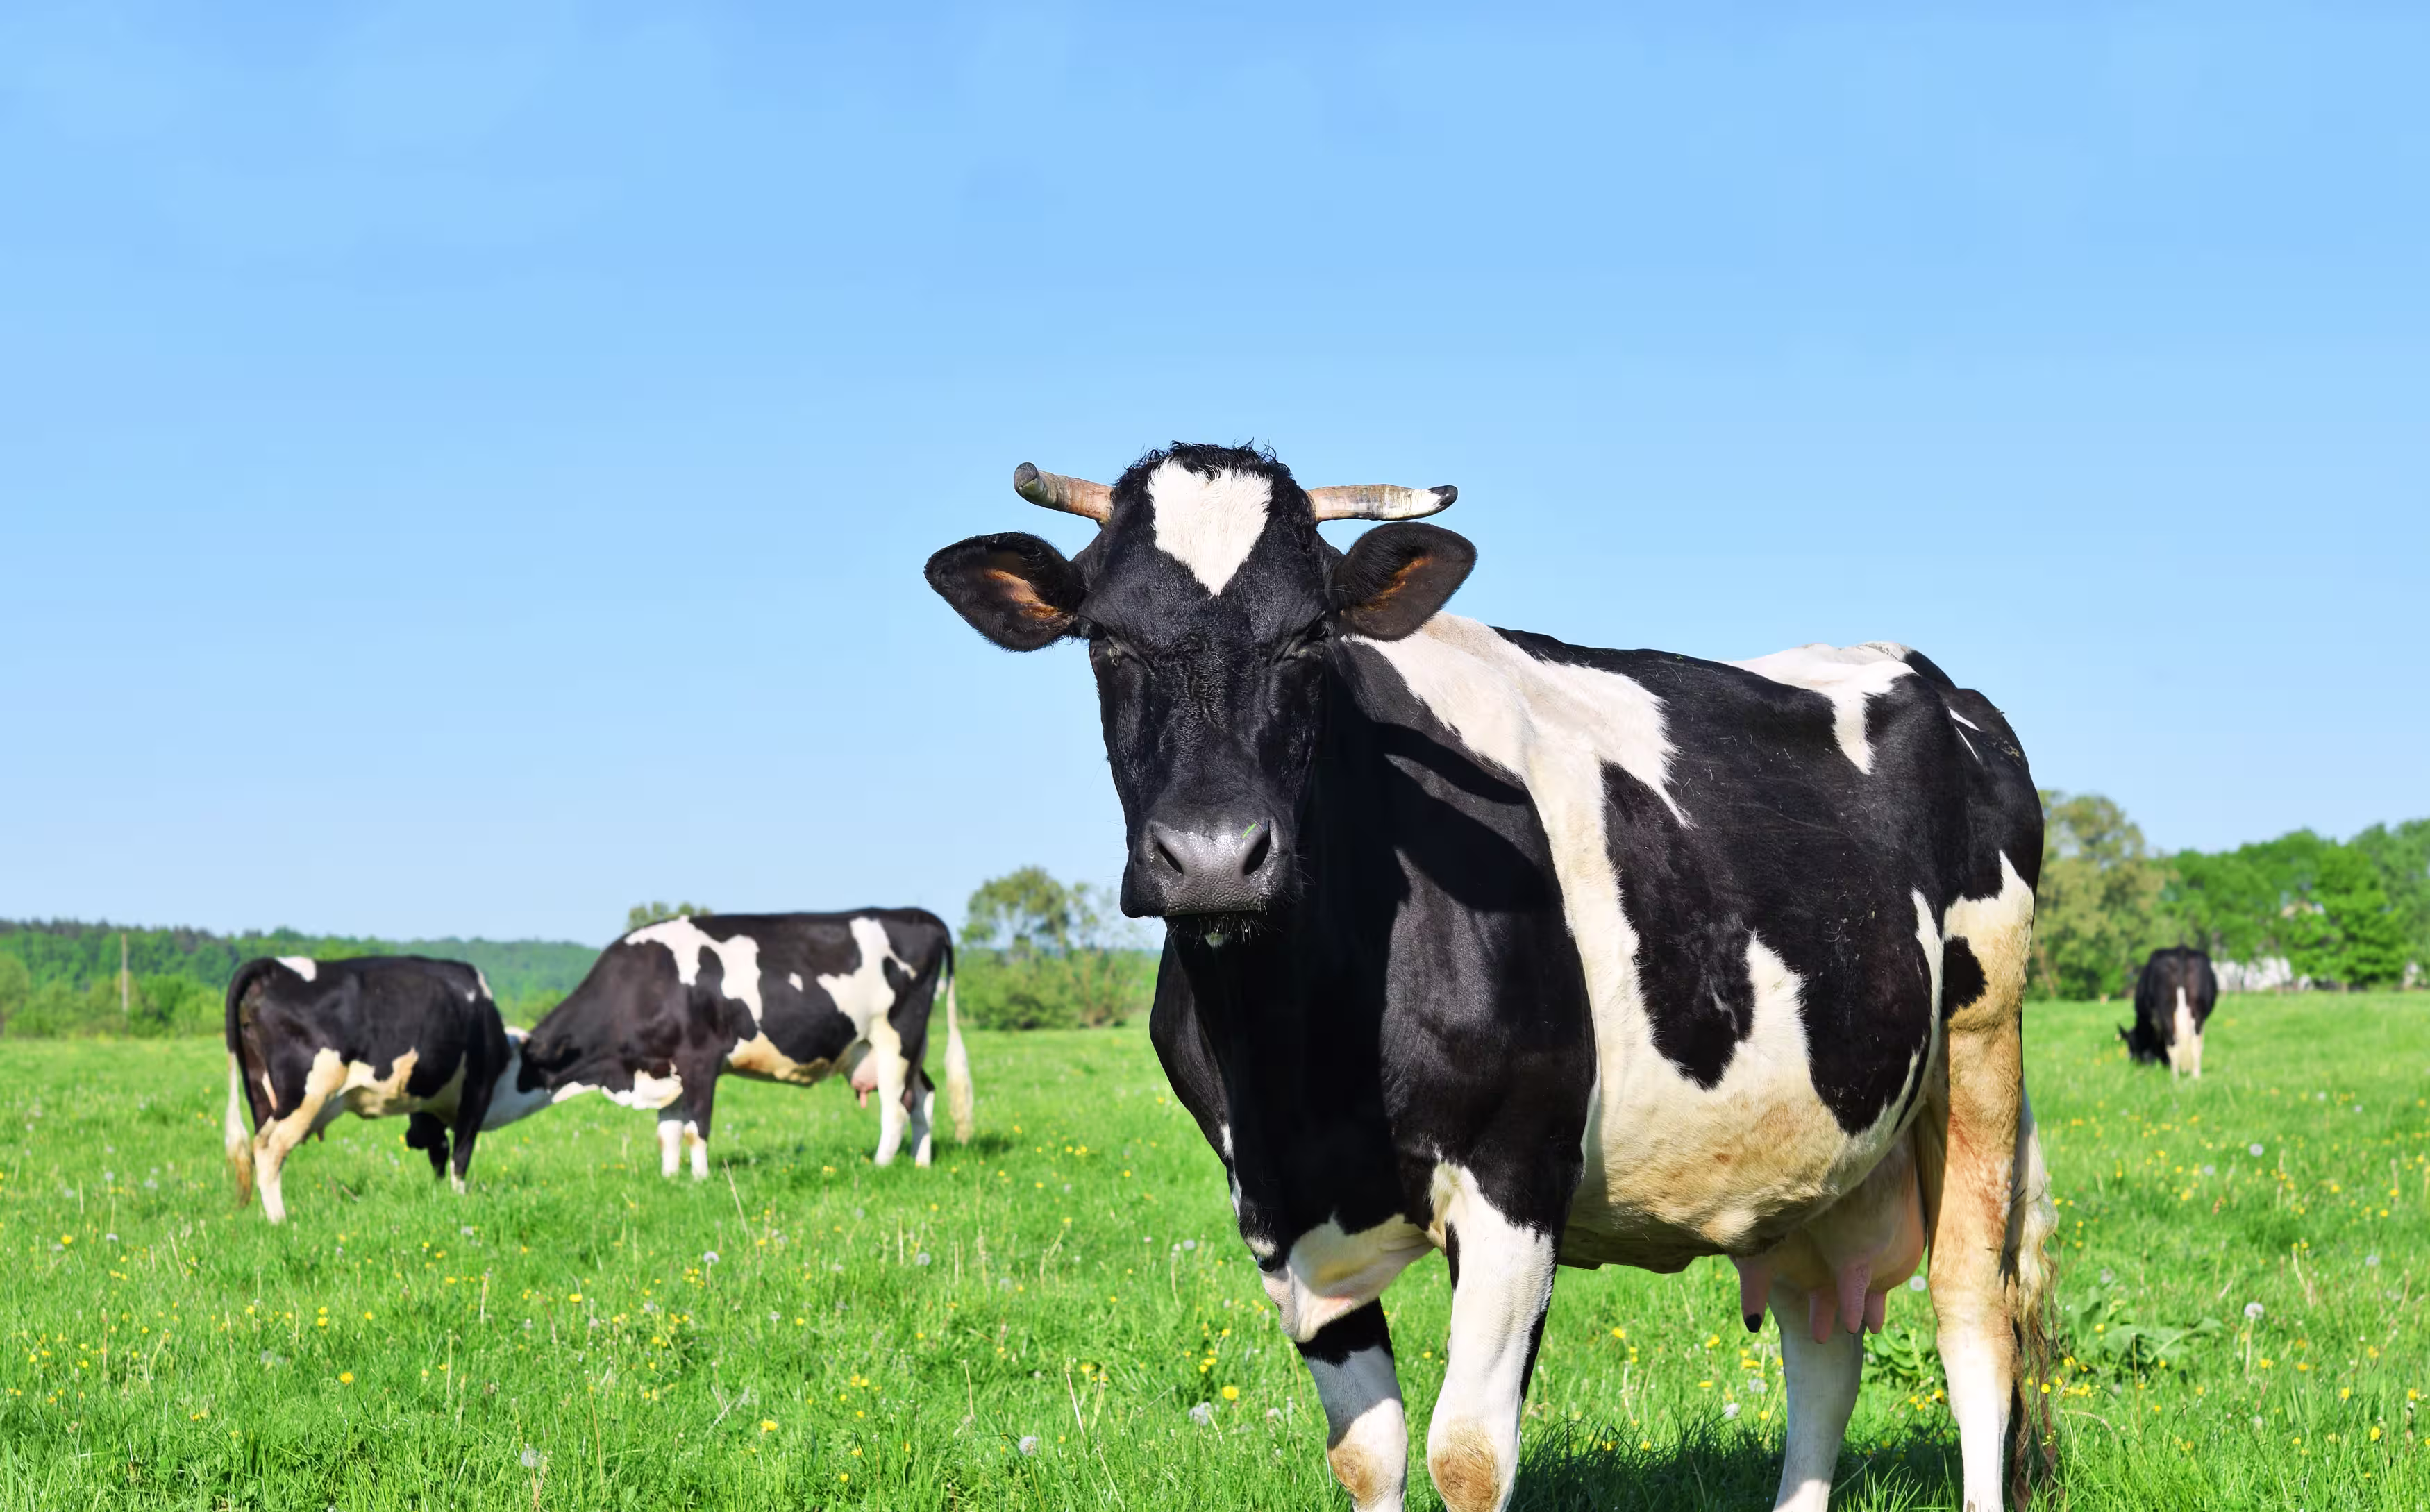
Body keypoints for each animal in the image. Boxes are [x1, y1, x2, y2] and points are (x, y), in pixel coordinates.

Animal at [222, 955, 545, 1224]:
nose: (410, 1139)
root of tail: (274, 967)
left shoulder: (429, 1106)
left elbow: (439, 1150)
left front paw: (439, 1194)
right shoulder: (476, 1093)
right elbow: (460, 1155)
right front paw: (458, 1199)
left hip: (261, 1091)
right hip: (307, 1094)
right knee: (269, 1148)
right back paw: (280, 1220)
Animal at [510, 909, 973, 1178]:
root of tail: (919, 915)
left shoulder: (700, 1060)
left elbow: (695, 1128)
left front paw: (699, 1180)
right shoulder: (666, 1068)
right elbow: (668, 1131)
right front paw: (669, 1178)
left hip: (895, 1036)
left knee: (895, 1107)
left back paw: (880, 1166)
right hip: (895, 1046)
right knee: (923, 1096)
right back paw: (921, 1162)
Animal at [927, 444, 2058, 1512]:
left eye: (1310, 638)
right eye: (1104, 639)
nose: (1212, 857)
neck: (1300, 1056)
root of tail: (1924, 674)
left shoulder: (1516, 1168)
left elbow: (1467, 1457)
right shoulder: (1276, 1210)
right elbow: (1367, 1454)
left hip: (1981, 1045)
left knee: (1971, 1314)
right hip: (1816, 1141)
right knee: (1822, 1340)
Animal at [2122, 946, 2216, 1078]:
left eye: (2131, 1045)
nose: (2135, 1064)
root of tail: (2181, 951)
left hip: (2166, 1010)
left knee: (2173, 1045)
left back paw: (2175, 1079)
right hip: (2198, 1011)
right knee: (2196, 1045)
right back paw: (2196, 1078)